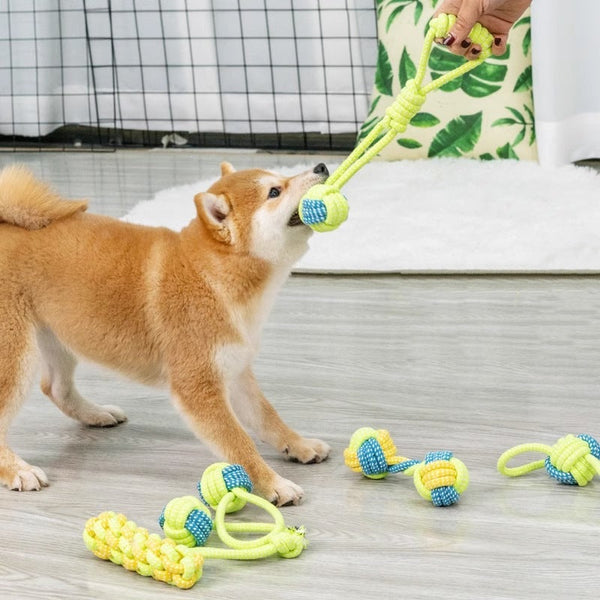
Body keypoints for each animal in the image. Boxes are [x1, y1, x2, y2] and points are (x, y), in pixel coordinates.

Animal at [0, 162, 330, 504]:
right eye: (274, 192)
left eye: (281, 178)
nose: (321, 166)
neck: (211, 275)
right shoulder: (198, 387)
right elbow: (238, 442)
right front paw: (274, 483)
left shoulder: (235, 371)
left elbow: (268, 419)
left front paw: (300, 445)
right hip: (16, 354)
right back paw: (17, 470)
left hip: (60, 336)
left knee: (56, 388)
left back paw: (97, 414)